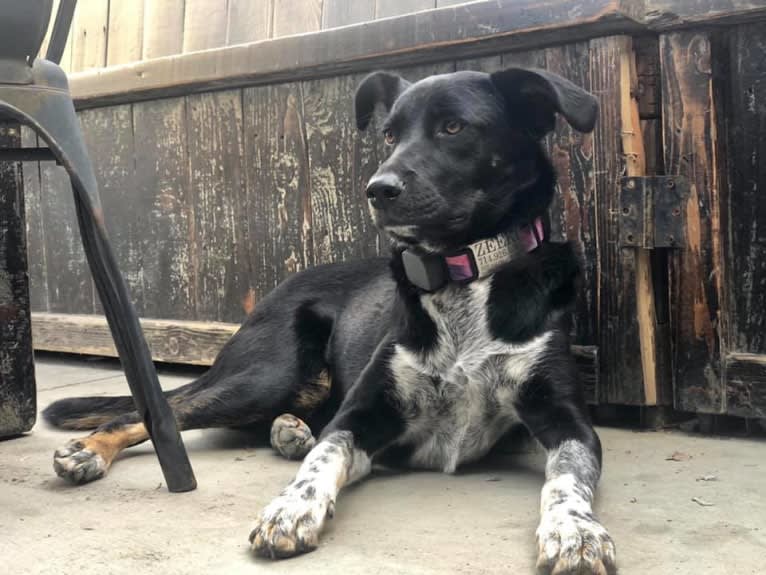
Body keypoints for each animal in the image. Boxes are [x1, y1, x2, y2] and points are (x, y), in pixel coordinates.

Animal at [43, 68, 616, 575]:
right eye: (390, 134)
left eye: (454, 127)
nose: (377, 188)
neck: (462, 272)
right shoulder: (363, 414)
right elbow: (323, 459)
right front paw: (292, 508)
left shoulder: (567, 420)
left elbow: (566, 480)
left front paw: (575, 531)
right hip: (264, 374)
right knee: (162, 409)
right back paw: (90, 450)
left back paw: (288, 432)